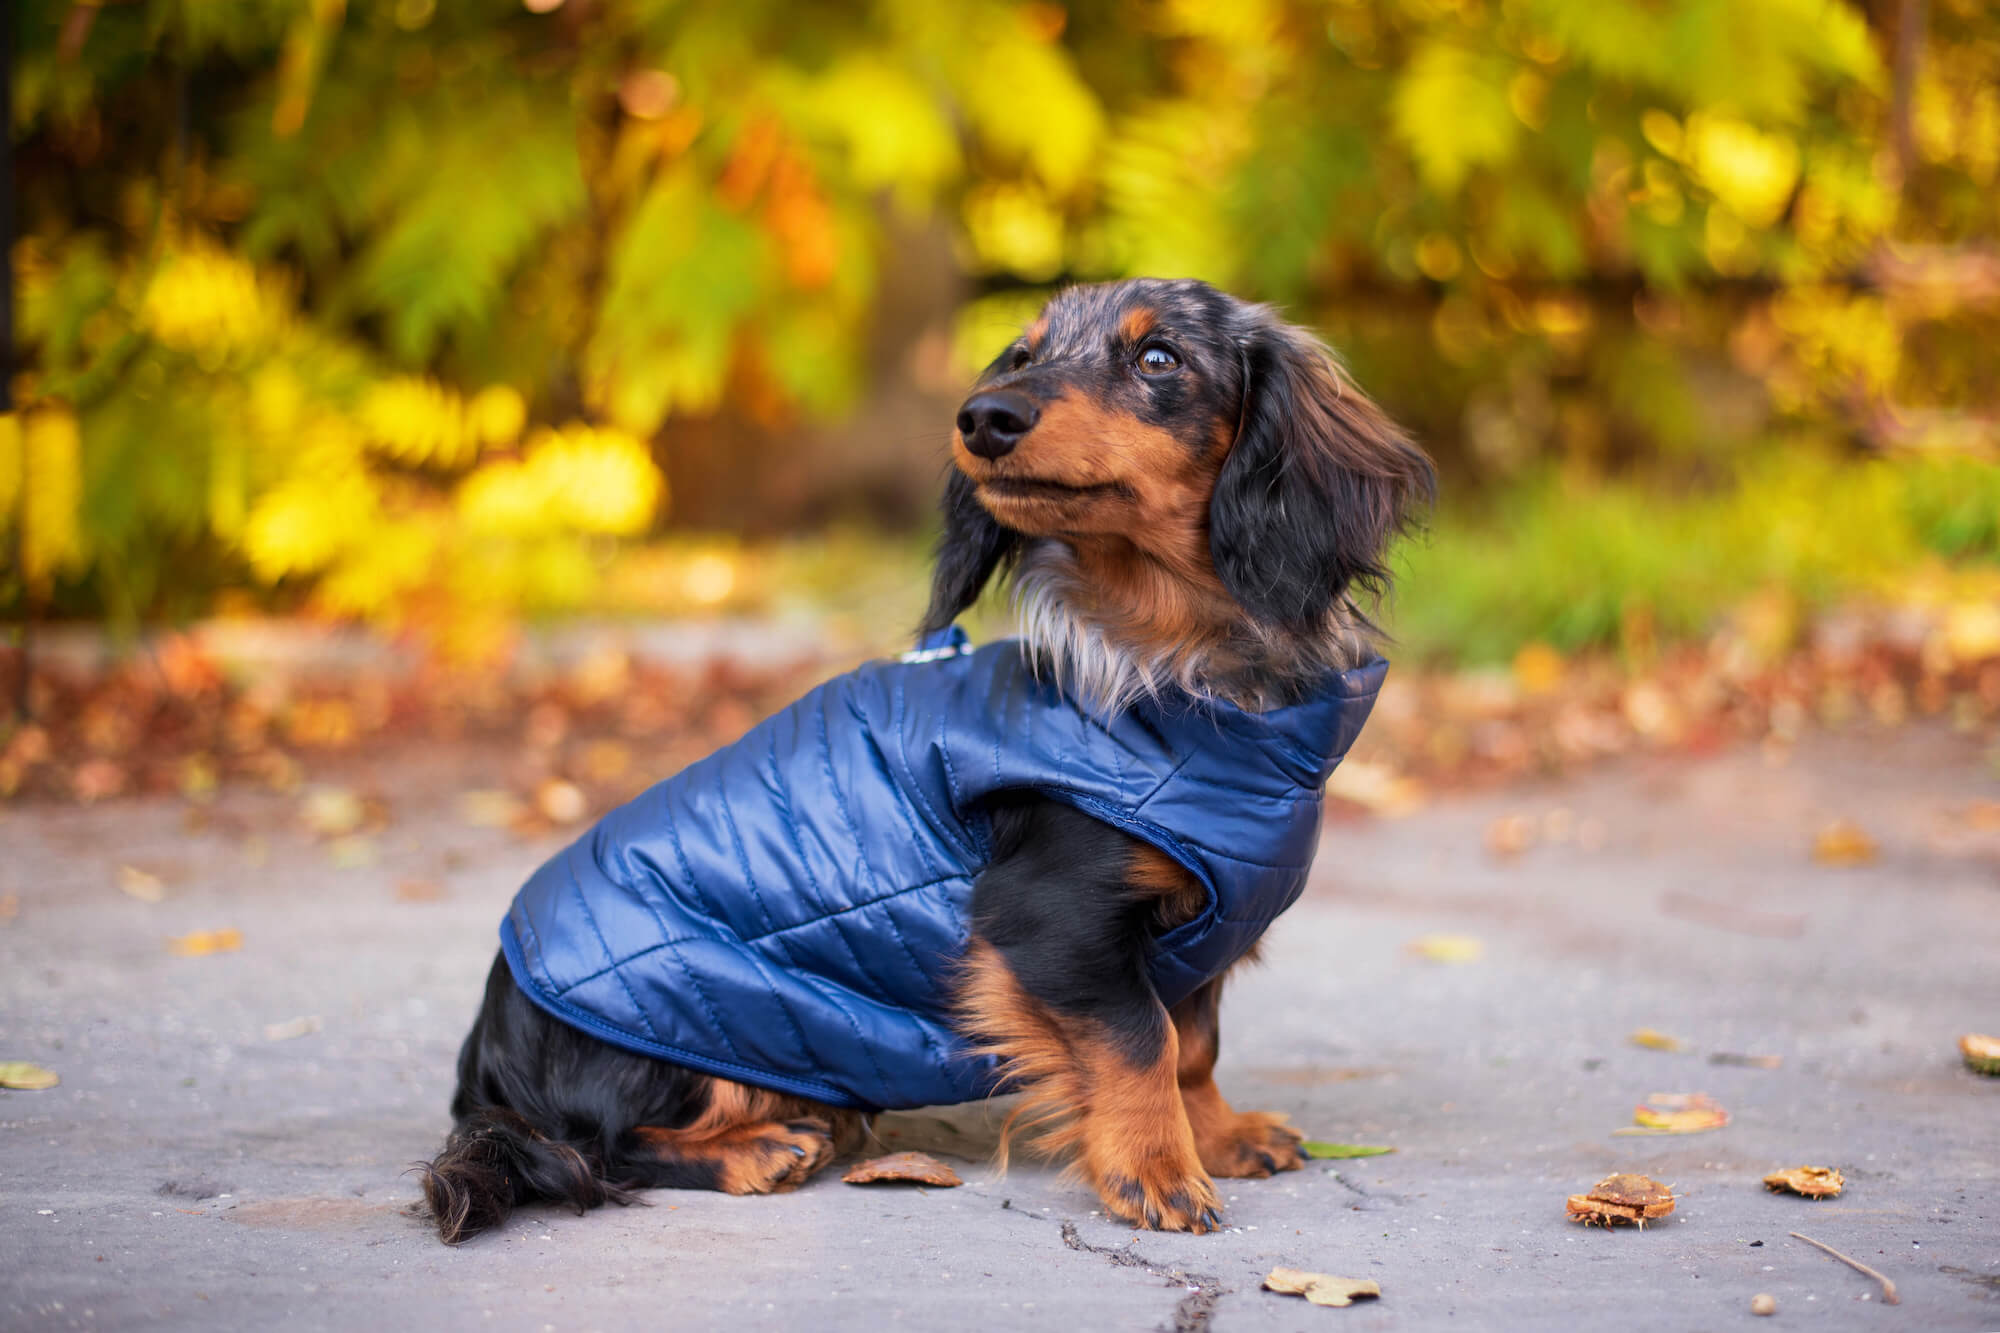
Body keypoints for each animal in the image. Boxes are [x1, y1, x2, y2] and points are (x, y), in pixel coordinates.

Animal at [422, 274, 1432, 1240]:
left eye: (1159, 357)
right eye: (1022, 353)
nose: (985, 418)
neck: (1173, 674)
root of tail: (486, 1063)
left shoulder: (1200, 923)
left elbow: (1194, 1043)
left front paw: (1218, 1137)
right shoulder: (1051, 917)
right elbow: (1142, 1041)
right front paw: (1156, 1170)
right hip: (683, 1028)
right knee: (593, 1146)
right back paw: (759, 1149)